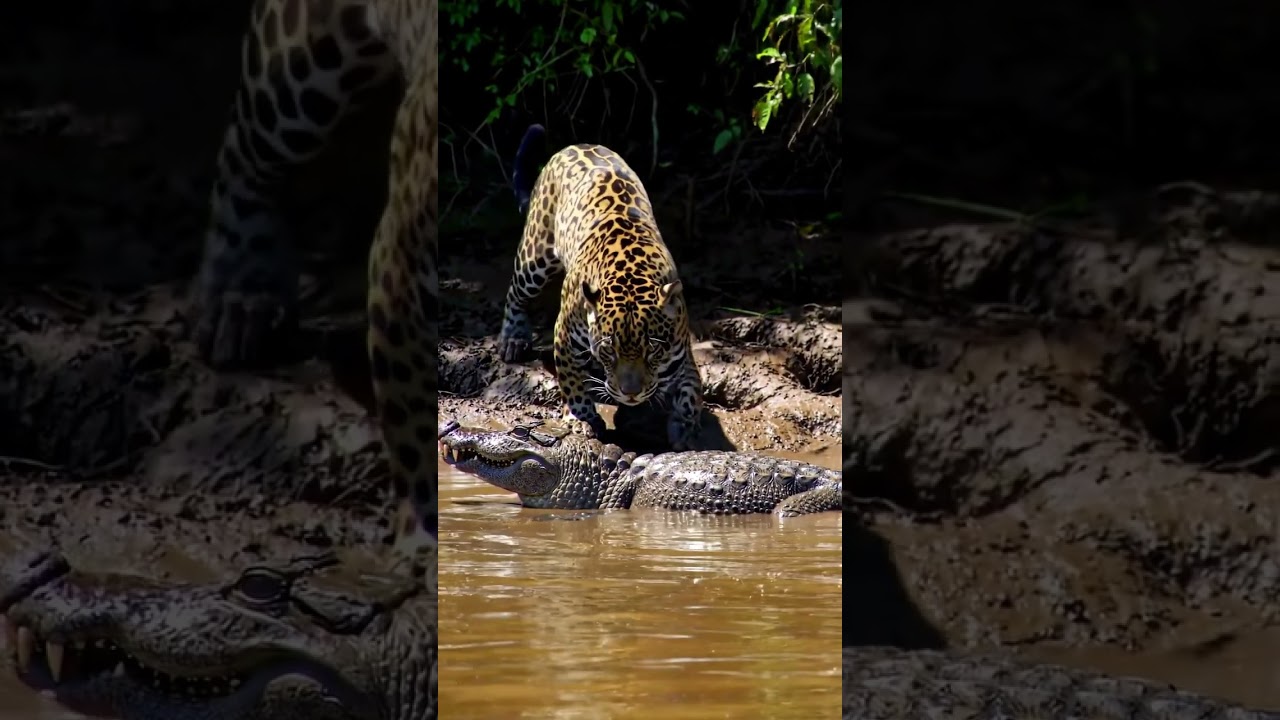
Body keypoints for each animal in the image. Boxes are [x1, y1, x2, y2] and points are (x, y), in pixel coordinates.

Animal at [186, 0, 438, 573]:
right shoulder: (398, 266)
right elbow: (413, 414)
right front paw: (424, 542)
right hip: (302, 57)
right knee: (247, 152)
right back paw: (242, 300)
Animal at [498, 124, 705, 451]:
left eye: (652, 350)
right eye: (609, 349)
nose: (630, 393)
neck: (632, 273)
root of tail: (575, 145)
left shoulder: (681, 352)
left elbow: (692, 391)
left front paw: (686, 427)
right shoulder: (564, 333)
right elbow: (571, 380)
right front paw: (582, 418)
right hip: (535, 255)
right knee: (515, 293)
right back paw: (513, 339)